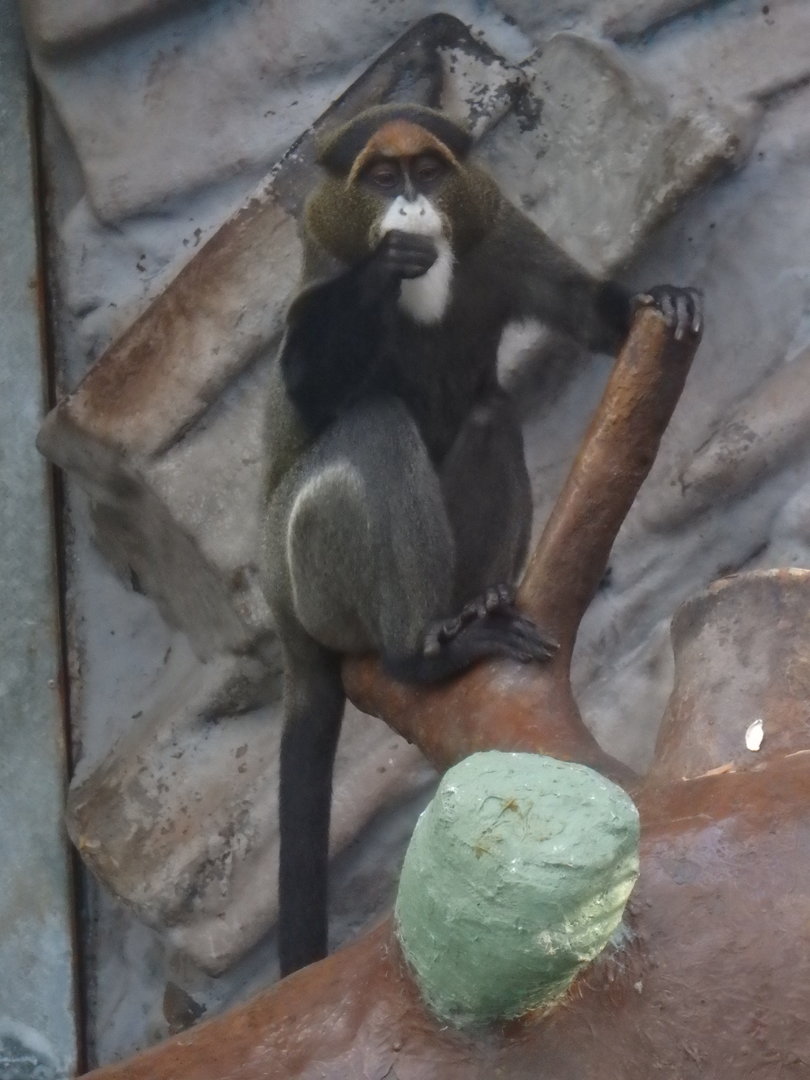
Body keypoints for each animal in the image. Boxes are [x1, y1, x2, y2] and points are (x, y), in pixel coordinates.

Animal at [261, 103, 701, 976]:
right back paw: (424, 655)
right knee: (371, 427)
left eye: (428, 172)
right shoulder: (318, 279)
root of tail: (280, 608)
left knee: (492, 412)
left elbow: (581, 308)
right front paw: (388, 263)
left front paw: (657, 295)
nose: (409, 205)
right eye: (380, 177)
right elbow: (306, 387)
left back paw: (483, 601)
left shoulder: (499, 232)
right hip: (312, 581)